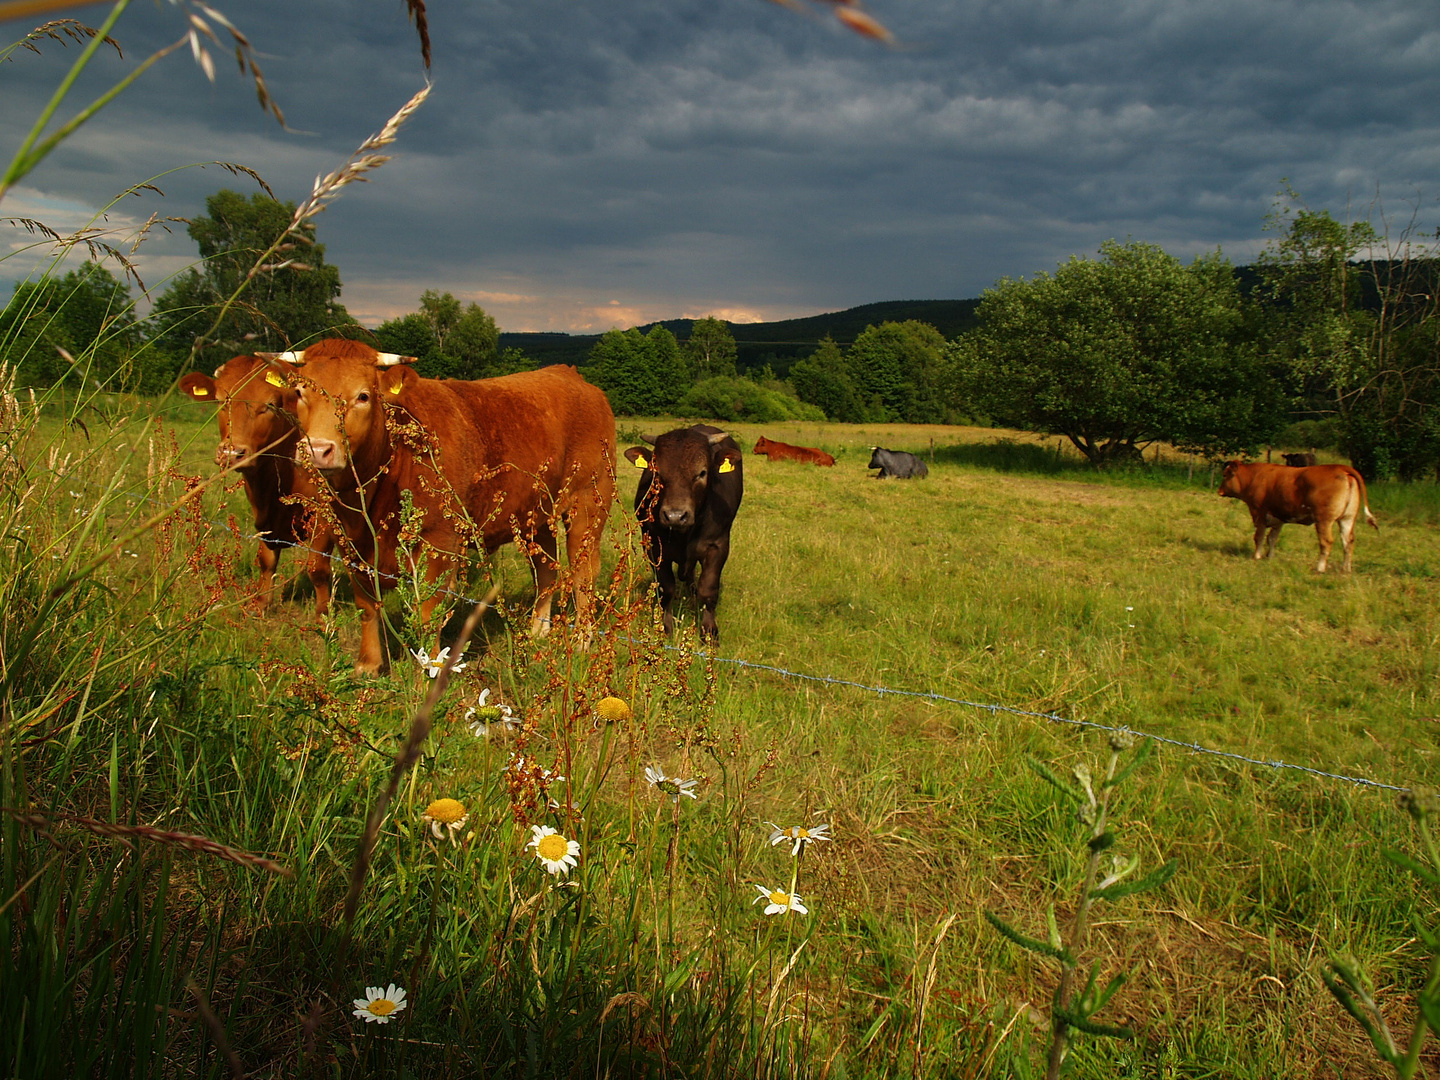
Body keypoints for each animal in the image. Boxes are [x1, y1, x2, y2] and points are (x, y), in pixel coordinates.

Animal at [177, 352, 334, 613]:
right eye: (220, 401)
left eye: (270, 404)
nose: (232, 453)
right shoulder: (264, 519)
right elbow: (266, 560)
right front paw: (260, 604)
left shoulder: (323, 515)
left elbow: (318, 567)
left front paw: (324, 613)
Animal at [277, 339, 616, 676]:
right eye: (299, 393)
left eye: (363, 396)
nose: (317, 450)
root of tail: (569, 374)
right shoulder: (350, 544)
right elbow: (366, 604)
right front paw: (367, 665)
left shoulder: (439, 541)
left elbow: (429, 610)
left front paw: (431, 668)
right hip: (537, 514)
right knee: (545, 569)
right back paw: (537, 631)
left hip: (588, 505)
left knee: (584, 574)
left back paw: (582, 639)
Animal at [624, 426, 748, 642]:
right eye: (656, 472)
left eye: (702, 472)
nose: (675, 516)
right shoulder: (655, 547)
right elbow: (666, 589)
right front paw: (665, 627)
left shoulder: (718, 546)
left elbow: (708, 589)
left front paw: (709, 631)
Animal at [1221, 457, 1376, 576]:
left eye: (1225, 475)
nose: (1219, 490)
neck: (1255, 477)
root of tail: (1341, 468)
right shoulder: (1278, 519)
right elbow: (1272, 538)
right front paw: (1270, 557)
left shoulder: (1259, 513)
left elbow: (1259, 537)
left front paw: (1257, 556)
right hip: (1347, 519)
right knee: (1348, 542)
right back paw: (1346, 569)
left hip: (1324, 520)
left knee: (1326, 542)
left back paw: (1320, 568)